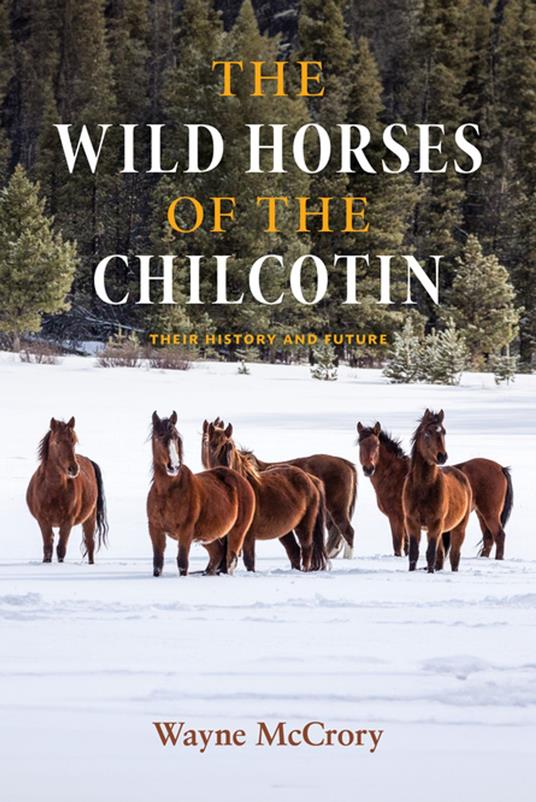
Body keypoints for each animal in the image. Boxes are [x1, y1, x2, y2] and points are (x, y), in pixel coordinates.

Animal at [26, 417, 108, 564]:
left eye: (74, 441)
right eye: (57, 441)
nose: (73, 468)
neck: (52, 490)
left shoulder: (67, 521)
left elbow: (61, 549)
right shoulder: (43, 520)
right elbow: (48, 548)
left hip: (90, 517)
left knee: (90, 543)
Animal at [147, 411, 256, 576]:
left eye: (177, 438)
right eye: (159, 436)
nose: (173, 467)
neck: (168, 492)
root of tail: (241, 479)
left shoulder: (185, 532)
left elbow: (182, 563)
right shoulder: (155, 530)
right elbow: (157, 564)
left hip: (236, 532)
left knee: (230, 560)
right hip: (209, 537)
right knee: (217, 555)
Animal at [202, 417, 356, 559]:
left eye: (229, 445)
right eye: (211, 444)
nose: (224, 468)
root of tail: (346, 463)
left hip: (337, 509)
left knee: (347, 531)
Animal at [357, 422, 513, 559]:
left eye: (376, 444)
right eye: (360, 444)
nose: (368, 469)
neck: (396, 475)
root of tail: (501, 468)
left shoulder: (396, 518)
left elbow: (397, 545)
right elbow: (407, 546)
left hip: (490, 513)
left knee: (499, 536)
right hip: (481, 513)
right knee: (488, 538)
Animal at [402, 409, 473, 572]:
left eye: (444, 432)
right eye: (427, 433)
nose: (442, 456)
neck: (423, 488)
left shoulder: (435, 524)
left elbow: (430, 554)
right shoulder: (411, 522)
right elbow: (414, 553)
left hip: (459, 528)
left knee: (454, 556)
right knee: (441, 555)